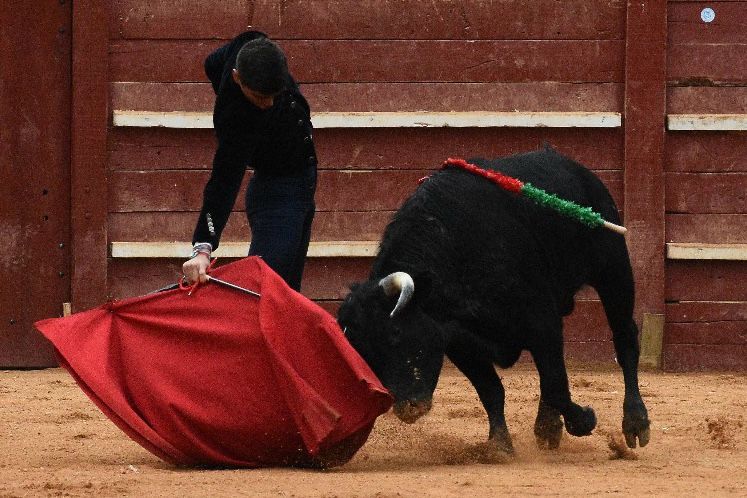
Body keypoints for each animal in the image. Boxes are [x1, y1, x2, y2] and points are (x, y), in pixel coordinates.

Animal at [336, 148, 652, 456]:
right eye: (364, 353)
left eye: (395, 333)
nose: (408, 409)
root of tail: (579, 170)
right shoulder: (458, 342)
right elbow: (493, 390)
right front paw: (500, 445)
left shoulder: (541, 321)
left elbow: (555, 384)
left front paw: (584, 420)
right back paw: (548, 427)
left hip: (614, 271)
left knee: (624, 340)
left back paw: (635, 423)